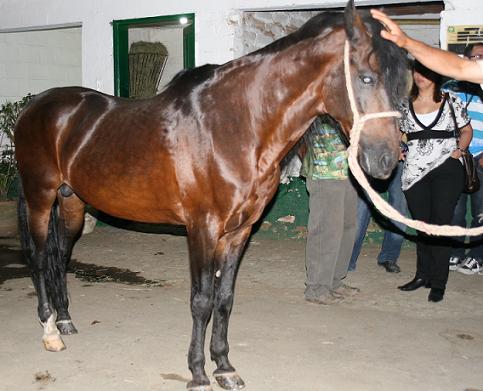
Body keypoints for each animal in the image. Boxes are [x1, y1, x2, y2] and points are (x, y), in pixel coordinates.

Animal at [14, 1, 408, 390]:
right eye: (366, 77)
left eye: (403, 85)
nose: (388, 158)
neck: (233, 127)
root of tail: (34, 106)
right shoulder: (202, 229)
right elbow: (202, 300)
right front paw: (199, 374)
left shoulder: (238, 232)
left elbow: (225, 298)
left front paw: (225, 368)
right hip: (40, 197)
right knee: (39, 256)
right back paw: (50, 331)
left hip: (72, 203)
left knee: (59, 255)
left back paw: (65, 320)